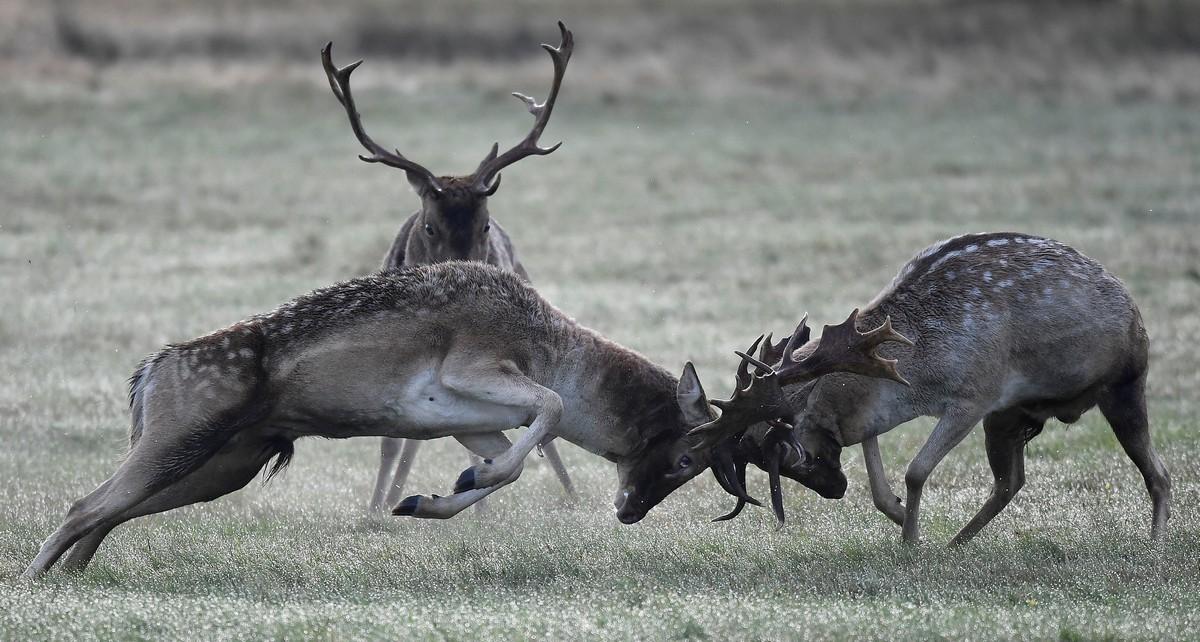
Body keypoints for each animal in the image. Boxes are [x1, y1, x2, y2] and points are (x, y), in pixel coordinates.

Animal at [324, 22, 576, 513]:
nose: (468, 280)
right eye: (429, 226)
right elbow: (392, 441)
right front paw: (375, 508)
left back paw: (561, 496)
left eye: (484, 226)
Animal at [619, 234, 1171, 544]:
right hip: (1012, 416)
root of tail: (1131, 302)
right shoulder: (885, 409)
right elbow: (882, 482)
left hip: (1124, 381)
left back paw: (1155, 547)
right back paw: (955, 544)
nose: (834, 489)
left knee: (1158, 473)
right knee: (1011, 480)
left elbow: (915, 471)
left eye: (786, 453)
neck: (916, 371)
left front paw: (908, 548)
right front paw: (909, 526)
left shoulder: (976, 395)